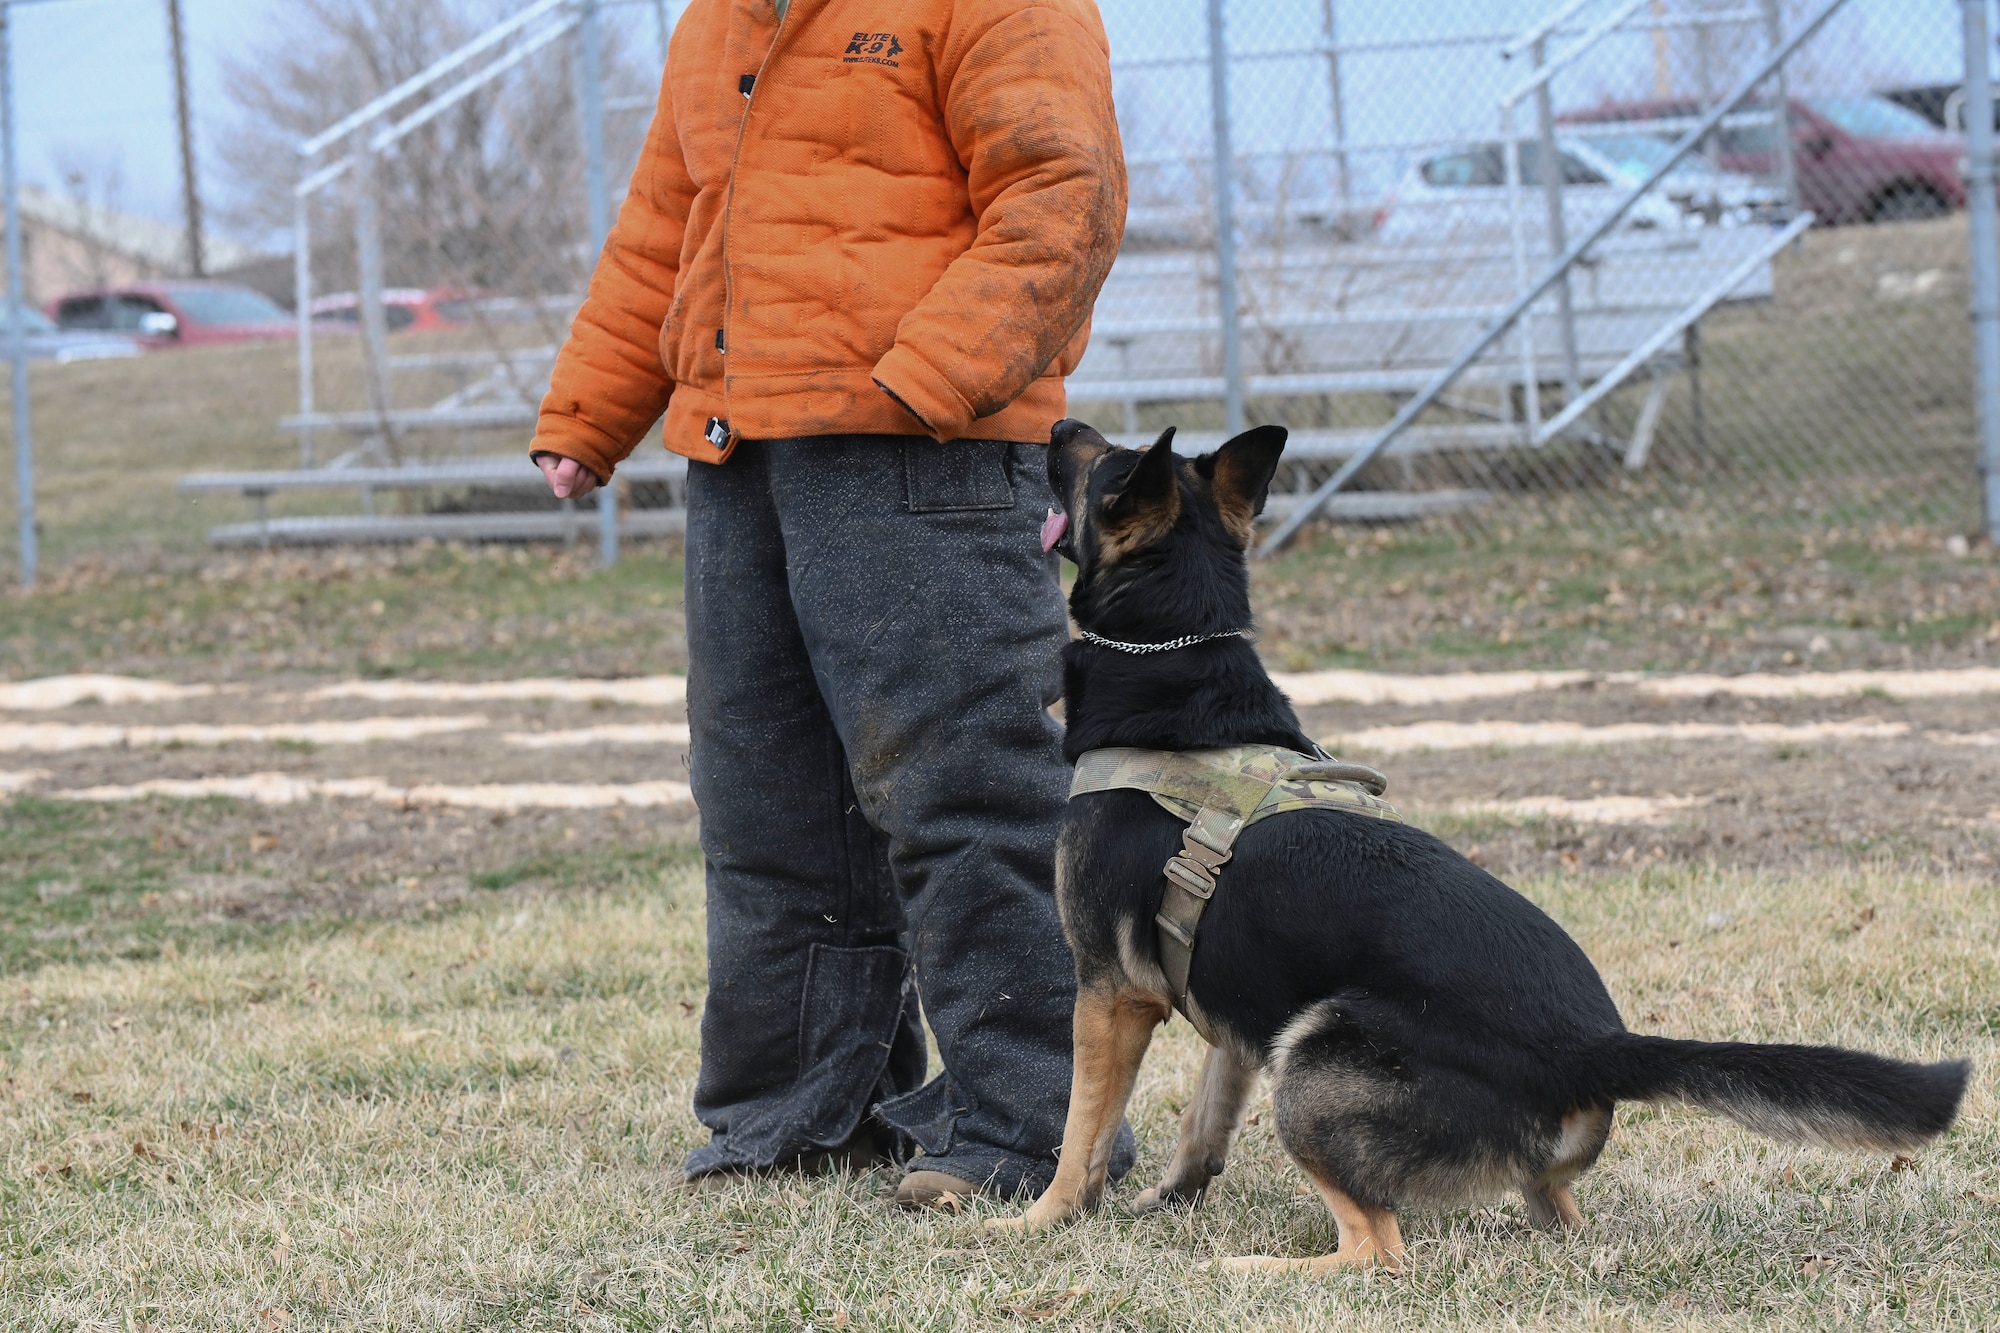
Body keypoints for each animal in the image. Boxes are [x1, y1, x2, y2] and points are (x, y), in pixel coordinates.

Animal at [988, 420, 1968, 1272]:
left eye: (1104, 468)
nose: (1055, 422)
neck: (1174, 658)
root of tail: (1589, 1045)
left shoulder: (1111, 994)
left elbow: (1078, 1131)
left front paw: (1040, 1221)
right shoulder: (1235, 1002)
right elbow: (1205, 1120)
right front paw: (1168, 1197)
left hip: (1313, 1059)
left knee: (1379, 1252)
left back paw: (1254, 1268)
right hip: (1339, 1068)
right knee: (1556, 1218)